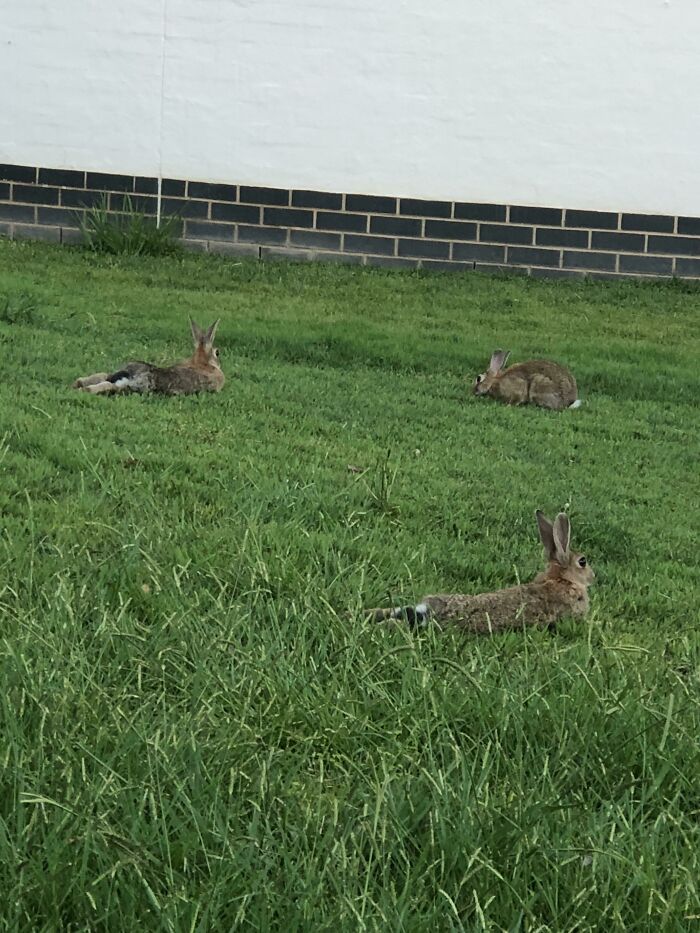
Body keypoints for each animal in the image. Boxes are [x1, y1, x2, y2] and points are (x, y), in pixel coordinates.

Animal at [73, 319, 224, 395]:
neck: (203, 363)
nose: (219, 362)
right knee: (110, 386)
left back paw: (77, 384)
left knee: (101, 376)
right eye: (217, 352)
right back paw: (84, 389)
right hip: (137, 386)